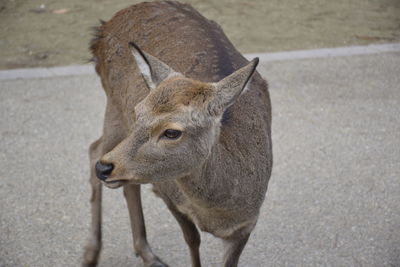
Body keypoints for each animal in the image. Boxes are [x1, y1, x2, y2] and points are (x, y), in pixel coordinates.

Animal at [83, 1, 274, 266]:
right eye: (138, 111)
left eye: (172, 132)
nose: (105, 168)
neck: (218, 214)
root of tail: (101, 29)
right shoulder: (168, 192)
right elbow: (192, 241)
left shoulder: (247, 225)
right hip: (114, 109)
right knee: (94, 149)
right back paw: (92, 253)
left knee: (115, 170)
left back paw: (147, 254)